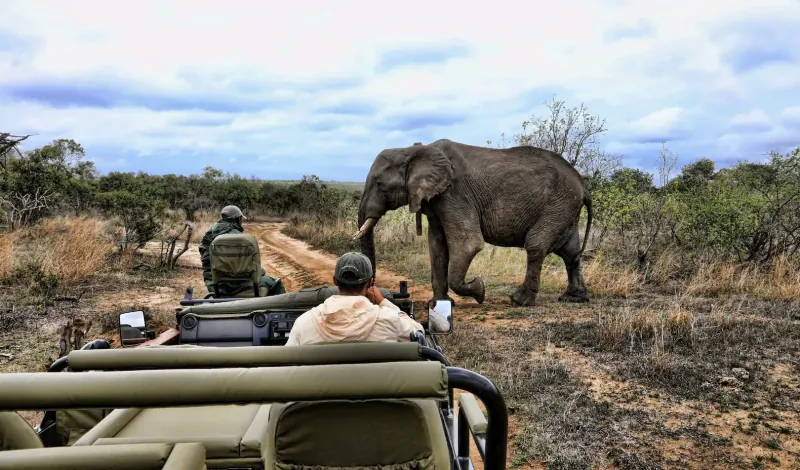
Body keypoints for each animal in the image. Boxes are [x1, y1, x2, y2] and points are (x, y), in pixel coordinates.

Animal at [353, 139, 593, 307]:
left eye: (380, 185)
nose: (371, 290)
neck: (414, 151)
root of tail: (583, 184)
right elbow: (437, 246)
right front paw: (440, 304)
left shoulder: (455, 194)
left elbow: (468, 245)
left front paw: (480, 290)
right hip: (565, 209)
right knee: (570, 252)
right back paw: (573, 298)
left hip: (559, 204)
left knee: (536, 245)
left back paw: (519, 300)